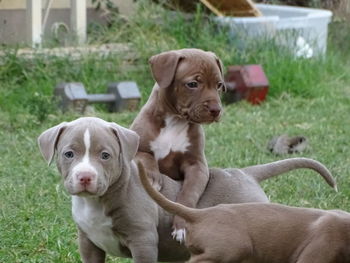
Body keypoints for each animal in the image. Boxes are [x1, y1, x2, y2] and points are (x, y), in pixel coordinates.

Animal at [130, 48, 226, 242]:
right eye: (192, 84)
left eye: (219, 85)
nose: (216, 110)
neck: (175, 120)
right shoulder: (137, 148)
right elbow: (147, 157)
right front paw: (153, 178)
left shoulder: (197, 166)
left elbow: (188, 194)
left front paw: (182, 225)